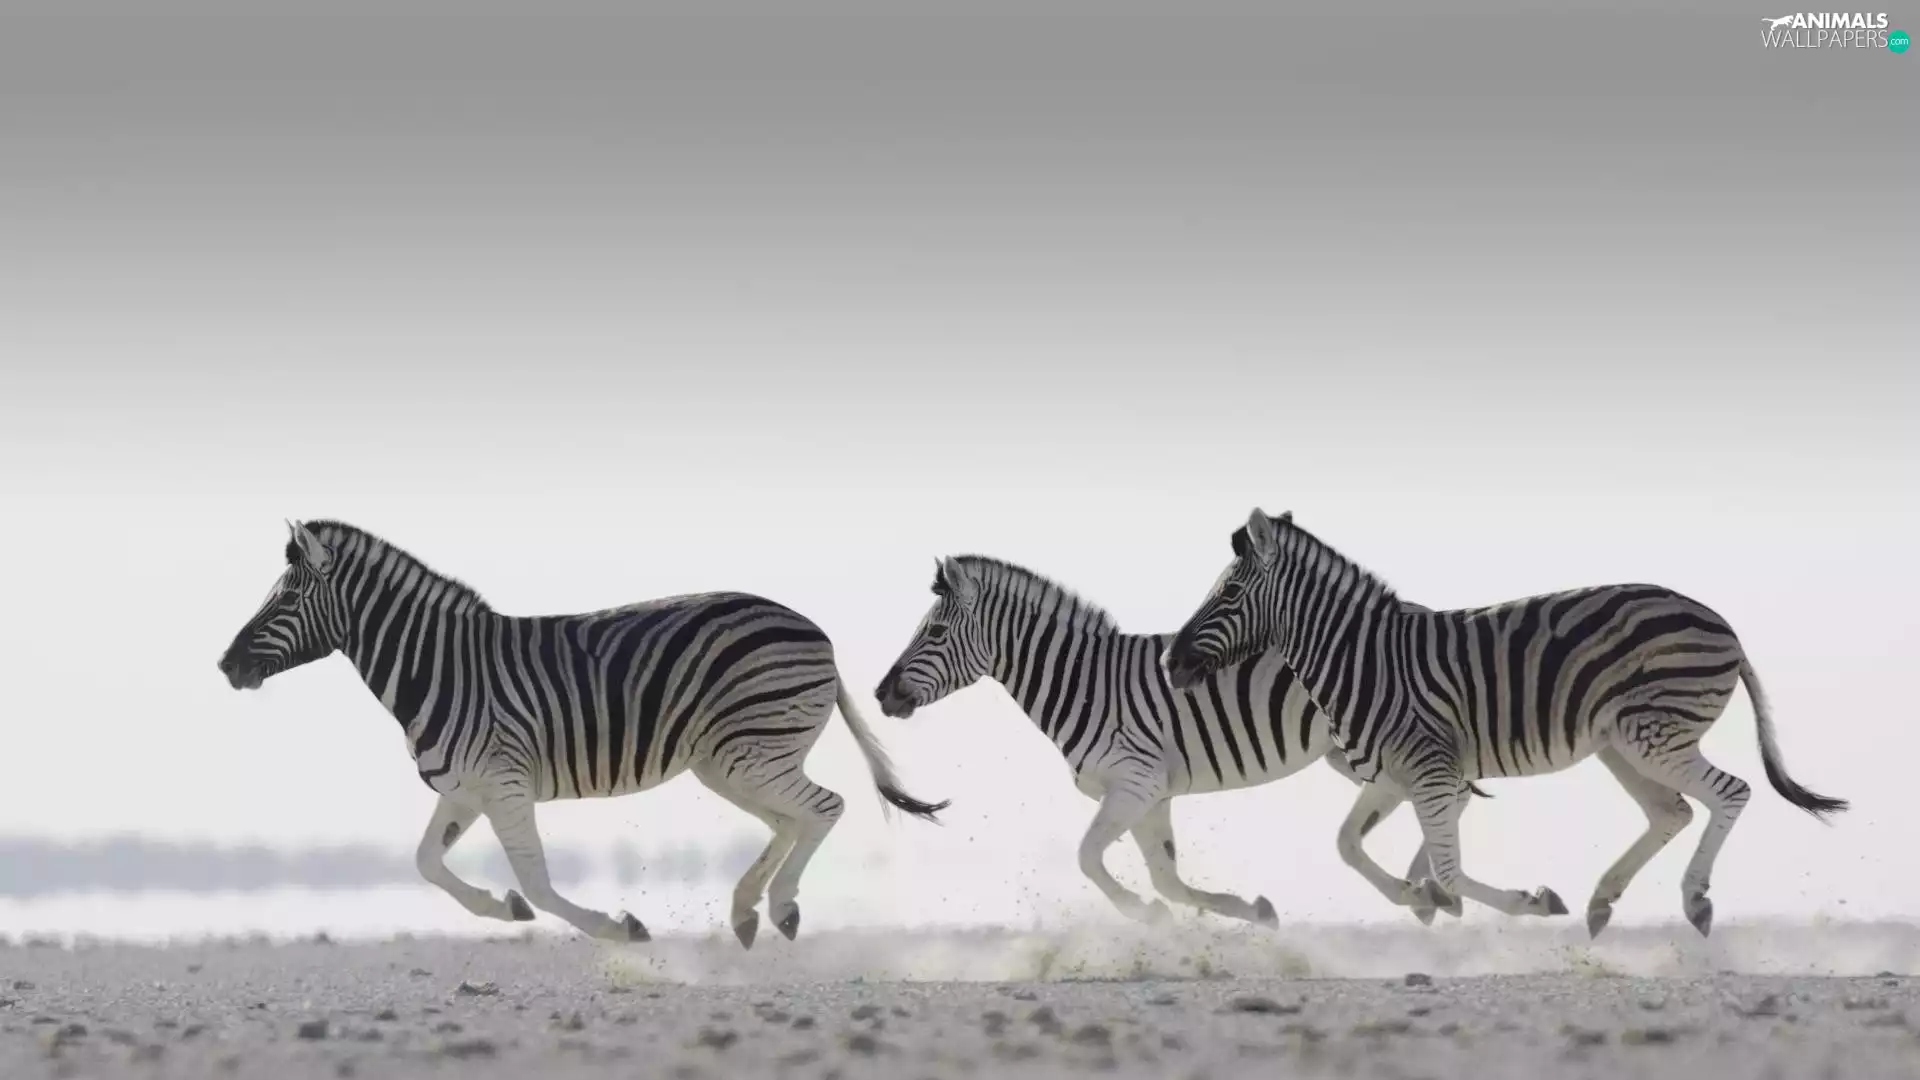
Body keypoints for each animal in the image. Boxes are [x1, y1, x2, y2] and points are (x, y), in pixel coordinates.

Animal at [216, 520, 948, 948]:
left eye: (286, 598)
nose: (226, 665)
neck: (439, 666)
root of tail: (814, 629)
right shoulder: (465, 790)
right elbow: (426, 862)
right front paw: (502, 908)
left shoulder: (504, 784)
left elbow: (538, 881)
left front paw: (617, 928)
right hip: (731, 760)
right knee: (791, 820)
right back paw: (749, 910)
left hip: (750, 751)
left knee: (824, 808)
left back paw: (780, 906)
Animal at [872, 554, 1489, 928]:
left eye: (934, 632)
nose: (880, 694)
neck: (1084, 683)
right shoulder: (1151, 796)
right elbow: (1167, 878)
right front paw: (1250, 910)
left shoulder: (1134, 784)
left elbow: (1090, 858)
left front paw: (1142, 913)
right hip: (1352, 749)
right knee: (1450, 795)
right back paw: (1429, 891)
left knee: (1447, 794)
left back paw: (1430, 890)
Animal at [1161, 507, 1847, 937]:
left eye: (1228, 595)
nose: (1170, 662)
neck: (1362, 658)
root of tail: (1720, 621)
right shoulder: (1393, 775)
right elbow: (1350, 845)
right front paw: (1419, 898)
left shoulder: (1430, 769)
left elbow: (1448, 869)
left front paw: (1521, 901)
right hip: (1621, 745)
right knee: (1671, 812)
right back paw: (1603, 902)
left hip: (1653, 734)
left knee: (1731, 792)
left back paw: (1695, 900)